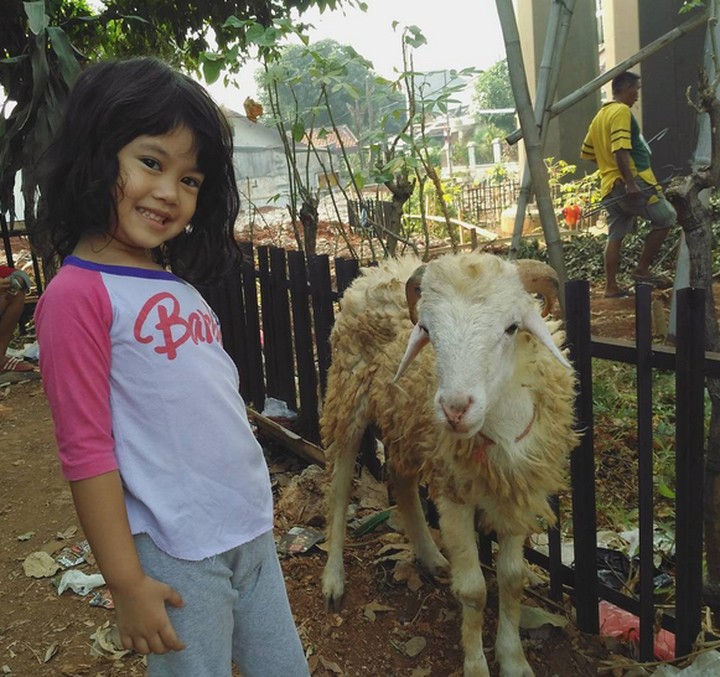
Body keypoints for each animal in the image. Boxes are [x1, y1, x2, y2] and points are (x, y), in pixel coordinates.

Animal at [320, 251, 580, 672]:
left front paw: (514, 660)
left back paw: (430, 557)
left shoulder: (518, 490)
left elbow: (512, 580)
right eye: (426, 328)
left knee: (401, 481)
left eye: (511, 327)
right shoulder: (454, 493)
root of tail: (376, 269)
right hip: (347, 394)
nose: (456, 409)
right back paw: (333, 580)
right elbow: (474, 590)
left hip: (405, 423)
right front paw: (476, 666)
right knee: (340, 491)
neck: (499, 430)